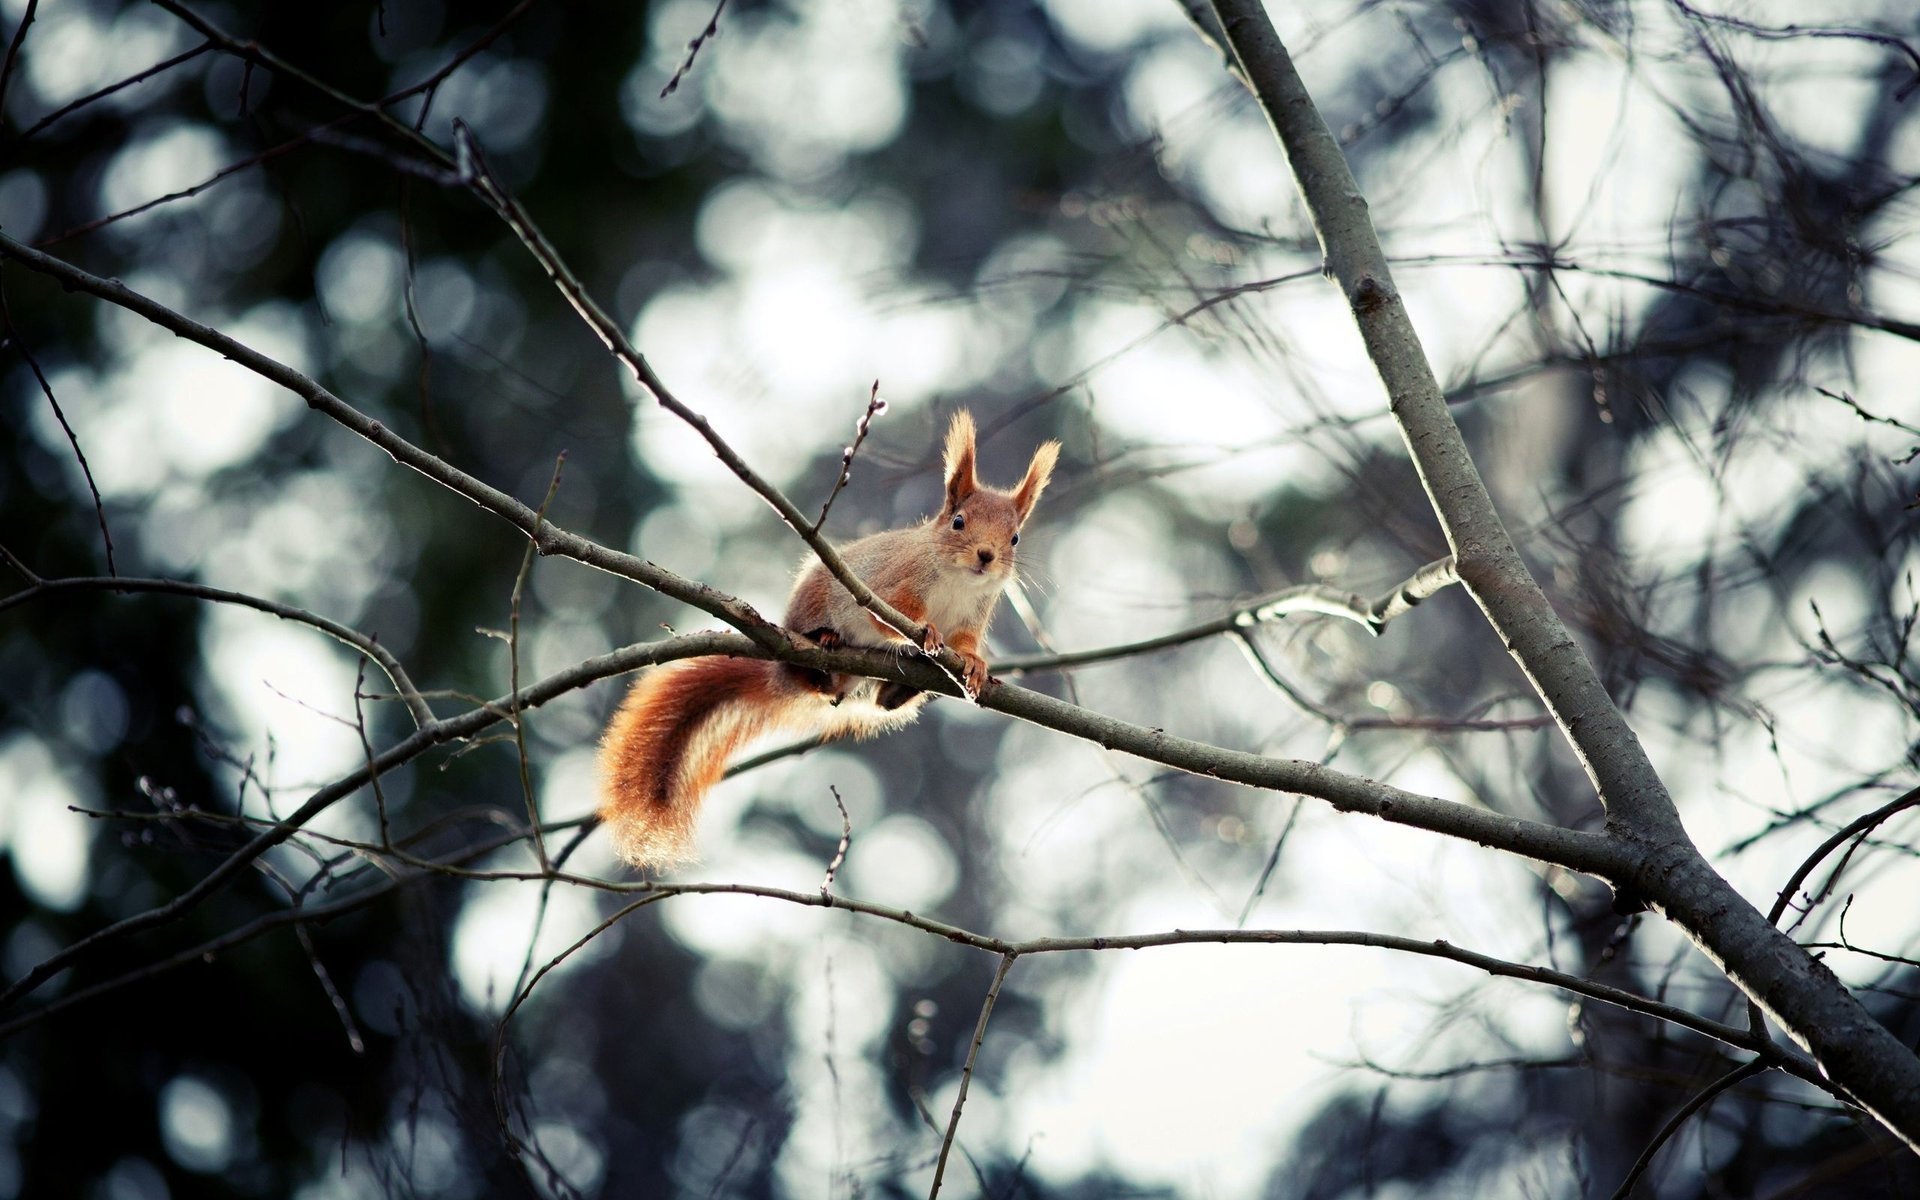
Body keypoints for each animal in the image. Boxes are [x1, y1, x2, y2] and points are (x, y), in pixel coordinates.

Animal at [598, 410, 1060, 868]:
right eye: (959, 522)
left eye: (1015, 537)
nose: (986, 556)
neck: (958, 580)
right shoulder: (891, 587)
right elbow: (891, 618)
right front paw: (925, 631)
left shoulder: (971, 617)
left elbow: (964, 644)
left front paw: (976, 666)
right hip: (811, 609)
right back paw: (824, 643)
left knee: (875, 702)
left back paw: (895, 690)